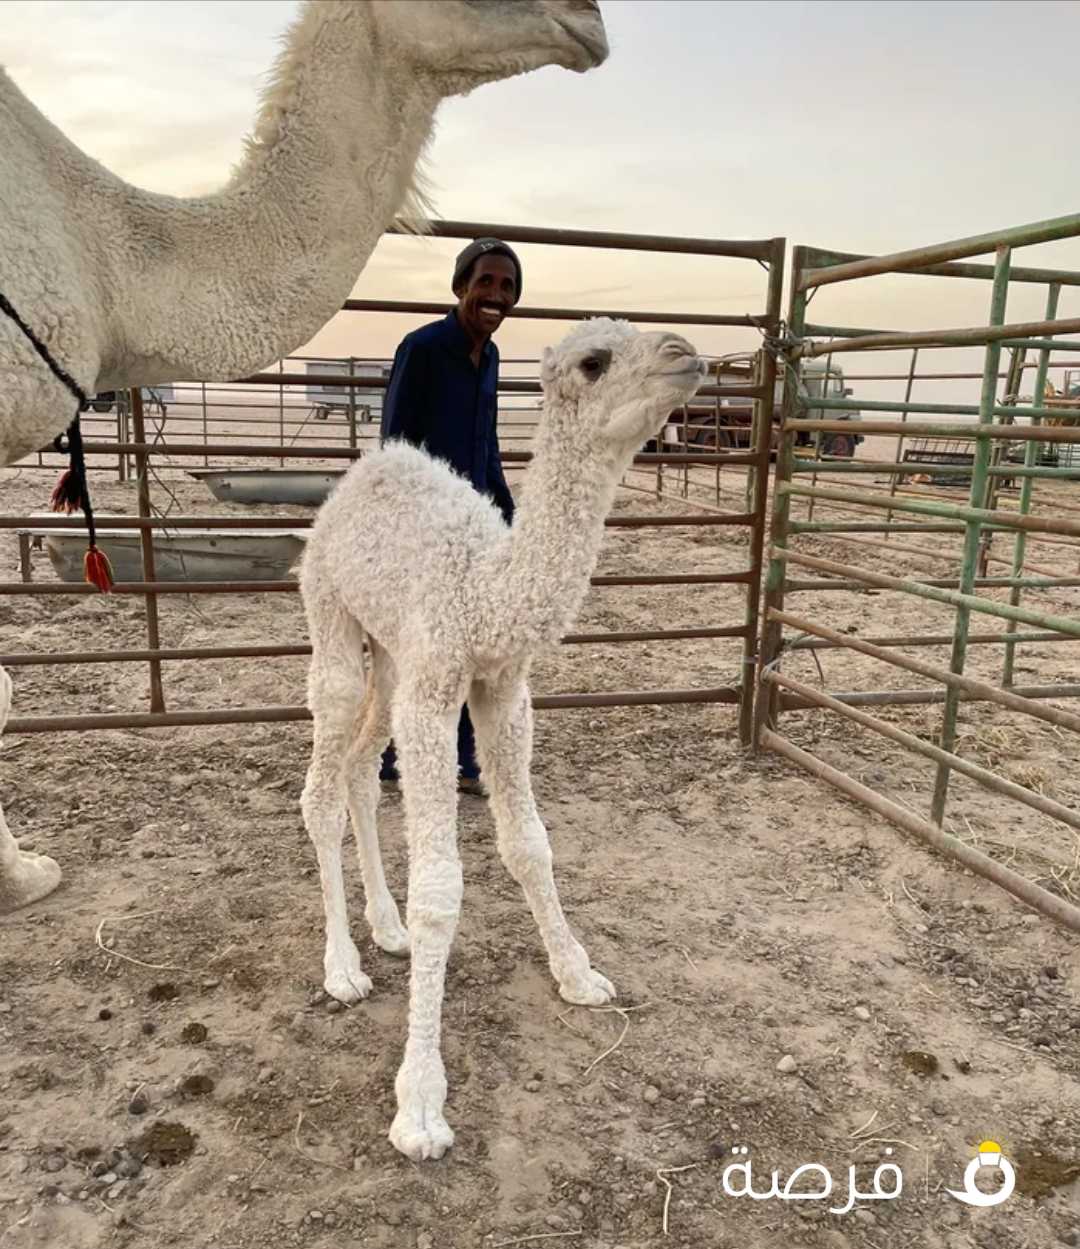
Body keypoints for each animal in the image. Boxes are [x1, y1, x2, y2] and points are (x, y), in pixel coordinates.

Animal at [299, 317, 704, 1154]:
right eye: (593, 361)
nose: (687, 354)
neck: (485, 590)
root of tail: (351, 485)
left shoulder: (502, 689)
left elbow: (530, 845)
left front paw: (579, 973)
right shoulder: (436, 691)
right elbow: (440, 890)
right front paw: (420, 1103)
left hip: (392, 653)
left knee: (359, 767)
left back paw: (384, 929)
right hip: (332, 615)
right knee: (321, 782)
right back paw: (343, 967)